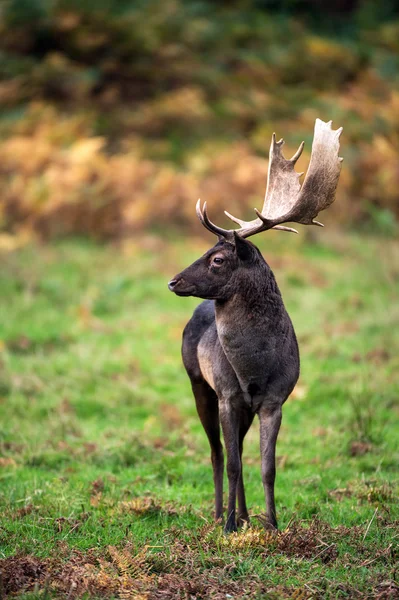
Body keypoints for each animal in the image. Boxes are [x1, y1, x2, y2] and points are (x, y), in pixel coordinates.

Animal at [169, 119, 344, 532]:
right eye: (207, 252)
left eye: (217, 259)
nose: (173, 281)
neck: (254, 368)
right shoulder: (228, 395)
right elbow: (233, 463)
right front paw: (229, 527)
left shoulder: (274, 400)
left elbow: (267, 467)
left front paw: (273, 524)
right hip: (197, 381)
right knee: (217, 452)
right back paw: (221, 514)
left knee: (234, 450)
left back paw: (245, 515)